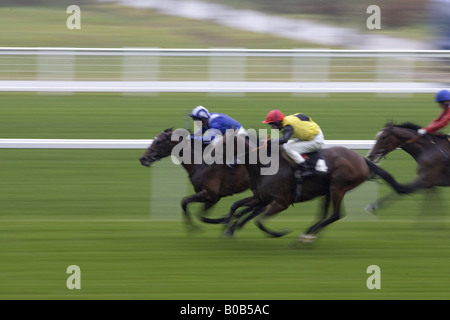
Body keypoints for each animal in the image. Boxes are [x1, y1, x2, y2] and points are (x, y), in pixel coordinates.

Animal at [218, 133, 404, 242]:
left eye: (224, 144)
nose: (214, 156)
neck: (264, 166)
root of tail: (361, 159)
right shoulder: (261, 198)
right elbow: (236, 205)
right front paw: (227, 227)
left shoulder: (280, 202)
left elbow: (259, 221)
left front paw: (280, 233)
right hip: (328, 191)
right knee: (324, 214)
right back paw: (309, 233)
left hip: (337, 187)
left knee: (335, 214)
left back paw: (306, 236)